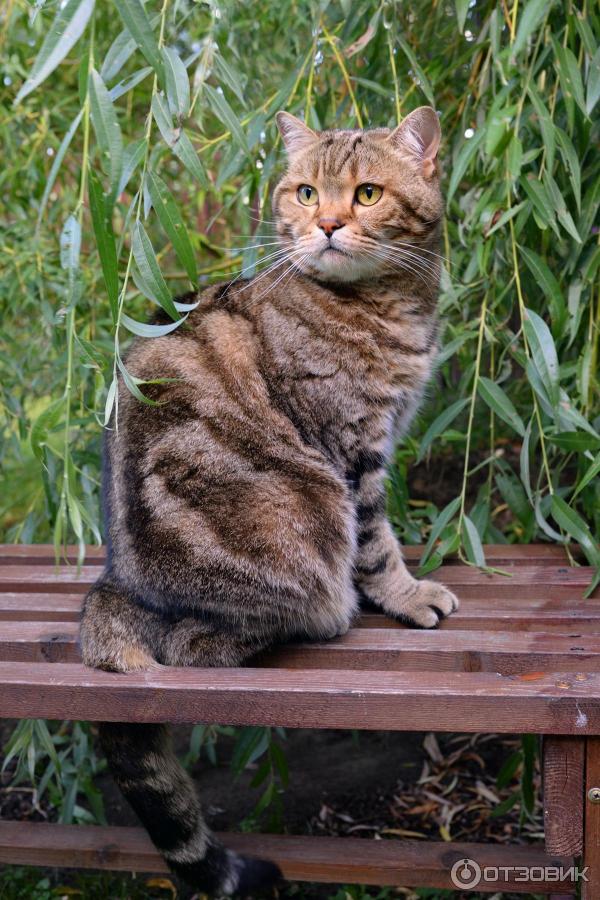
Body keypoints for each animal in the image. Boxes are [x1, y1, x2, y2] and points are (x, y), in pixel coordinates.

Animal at [80, 105, 459, 895]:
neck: (386, 306)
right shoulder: (350, 451)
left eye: (368, 193)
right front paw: (408, 596)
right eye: (307, 192)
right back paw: (322, 619)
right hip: (301, 521)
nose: (328, 225)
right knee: (201, 647)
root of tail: (116, 586)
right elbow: (377, 547)